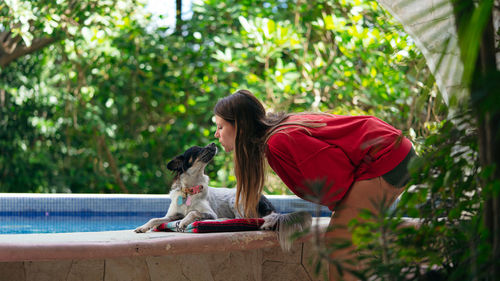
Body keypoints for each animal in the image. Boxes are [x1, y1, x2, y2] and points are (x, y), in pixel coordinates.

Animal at [135, 142, 310, 249]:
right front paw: (143, 227)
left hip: (236, 200)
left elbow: (193, 212)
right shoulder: (173, 215)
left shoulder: (209, 212)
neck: (190, 190)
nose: (213, 143)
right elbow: (155, 219)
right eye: (197, 149)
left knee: (244, 218)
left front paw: (184, 222)